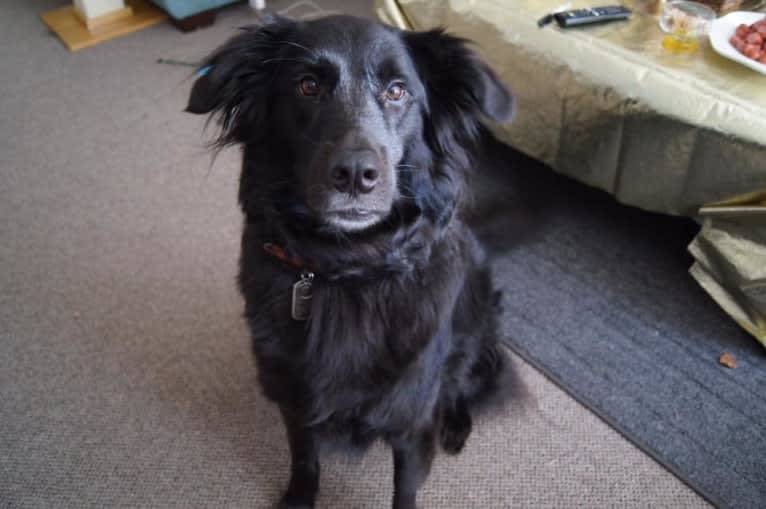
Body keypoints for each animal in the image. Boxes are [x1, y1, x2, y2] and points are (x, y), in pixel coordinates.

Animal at [188, 13, 516, 506]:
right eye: (307, 85)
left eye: (397, 90)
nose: (357, 175)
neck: (347, 268)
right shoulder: (295, 398)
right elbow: (305, 459)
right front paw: (299, 497)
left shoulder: (411, 421)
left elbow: (404, 489)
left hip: (477, 324)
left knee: (464, 380)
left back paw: (456, 424)